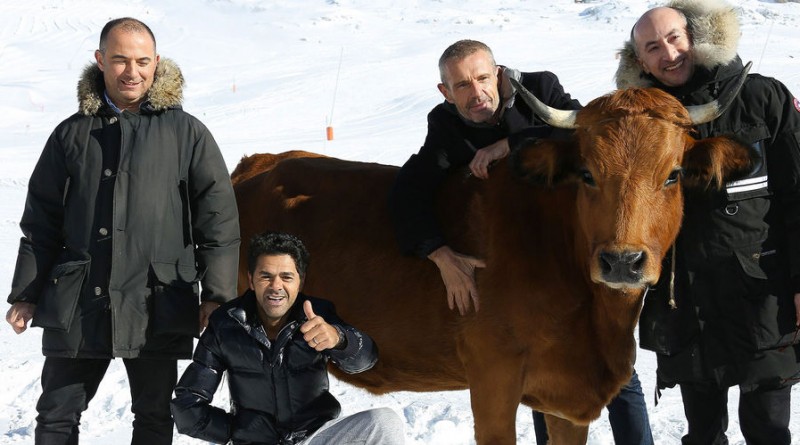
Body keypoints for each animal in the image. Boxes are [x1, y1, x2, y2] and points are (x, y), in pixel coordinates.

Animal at [233, 77, 756, 444]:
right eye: (587, 173)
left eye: (673, 175)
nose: (622, 262)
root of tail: (257, 162)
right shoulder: (492, 375)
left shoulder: (568, 398)